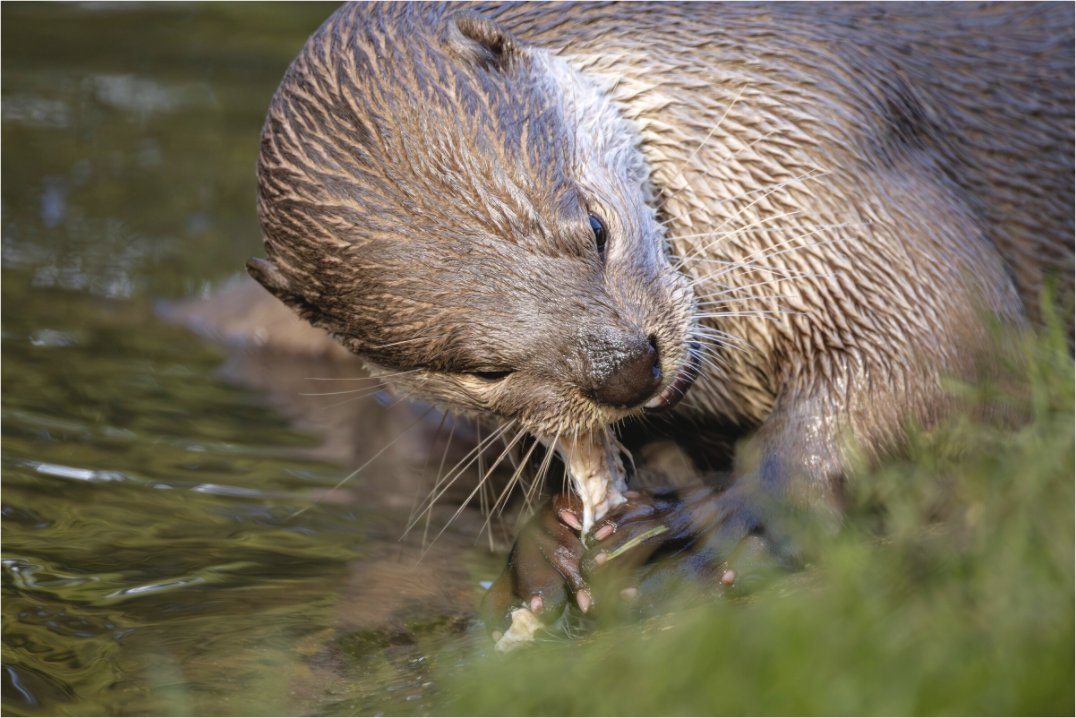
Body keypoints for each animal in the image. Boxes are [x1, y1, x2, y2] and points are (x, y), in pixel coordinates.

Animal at [247, 0, 1076, 640]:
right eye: (481, 370)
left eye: (595, 227)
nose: (624, 370)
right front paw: (541, 547)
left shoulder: (831, 143)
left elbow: (945, 344)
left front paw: (731, 520)